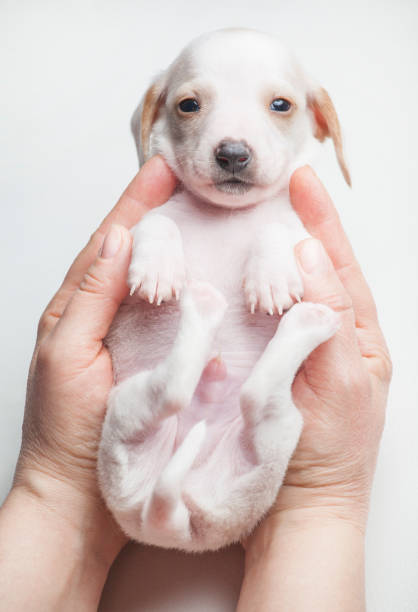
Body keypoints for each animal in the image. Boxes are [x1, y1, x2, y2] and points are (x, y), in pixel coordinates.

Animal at [98, 28, 350, 552]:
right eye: (189, 105)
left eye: (281, 104)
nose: (233, 153)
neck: (227, 216)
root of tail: (174, 521)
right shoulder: (145, 221)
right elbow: (155, 223)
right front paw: (159, 265)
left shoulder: (303, 235)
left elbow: (279, 229)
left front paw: (270, 274)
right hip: (127, 413)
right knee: (173, 386)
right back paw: (206, 309)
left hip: (272, 434)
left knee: (252, 394)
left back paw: (295, 322)